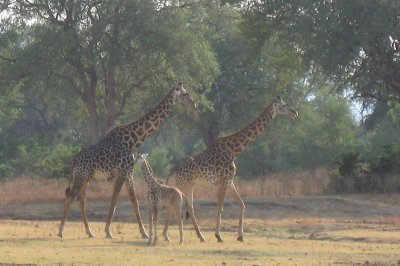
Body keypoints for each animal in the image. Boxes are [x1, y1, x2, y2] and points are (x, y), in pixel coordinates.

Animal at [58, 83, 197, 239]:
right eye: (184, 94)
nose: (194, 102)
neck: (134, 139)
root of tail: (73, 162)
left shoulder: (128, 173)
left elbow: (134, 202)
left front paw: (144, 233)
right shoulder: (121, 172)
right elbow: (114, 201)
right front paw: (108, 232)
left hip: (86, 177)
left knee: (80, 199)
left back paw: (89, 232)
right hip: (82, 176)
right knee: (71, 196)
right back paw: (61, 231)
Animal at [166, 96, 296, 242]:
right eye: (284, 105)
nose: (295, 112)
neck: (235, 150)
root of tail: (172, 171)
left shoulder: (229, 182)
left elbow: (242, 204)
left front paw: (240, 236)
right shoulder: (223, 181)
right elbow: (220, 208)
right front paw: (218, 236)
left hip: (189, 186)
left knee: (188, 207)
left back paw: (199, 236)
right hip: (183, 185)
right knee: (180, 206)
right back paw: (176, 236)